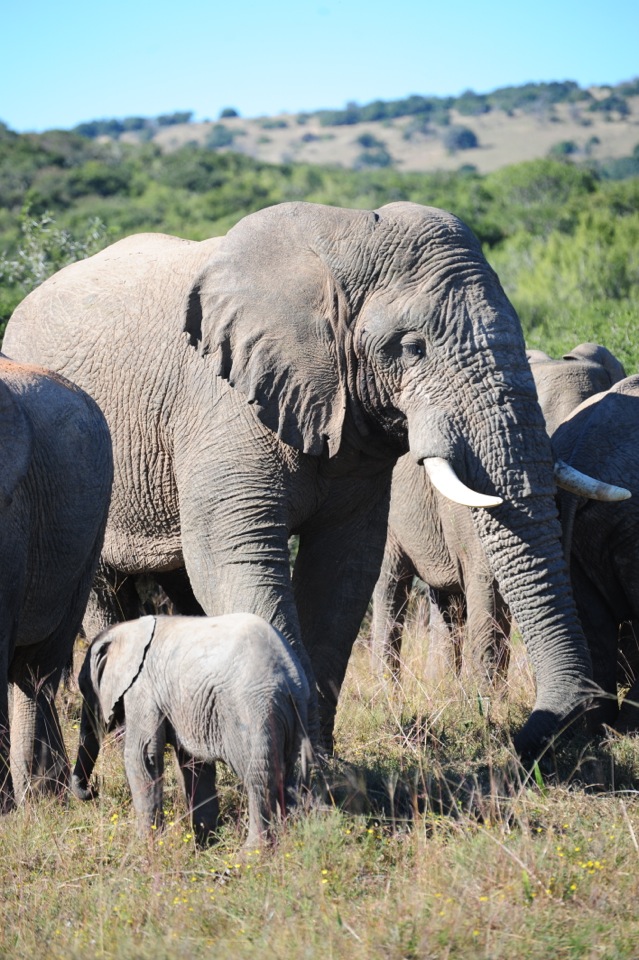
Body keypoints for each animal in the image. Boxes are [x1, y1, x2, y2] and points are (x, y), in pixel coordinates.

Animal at [71, 612, 310, 846]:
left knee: (259, 779)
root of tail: (290, 676)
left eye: (84, 687)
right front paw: (206, 844)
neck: (127, 629)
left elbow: (142, 756)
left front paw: (145, 847)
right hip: (292, 717)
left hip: (254, 712)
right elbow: (194, 764)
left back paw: (252, 852)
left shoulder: (142, 689)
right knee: (289, 776)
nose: (93, 790)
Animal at [371, 343, 628, 683]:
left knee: (446, 601)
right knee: (390, 587)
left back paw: (443, 685)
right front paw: (485, 698)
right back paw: (388, 689)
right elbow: (490, 586)